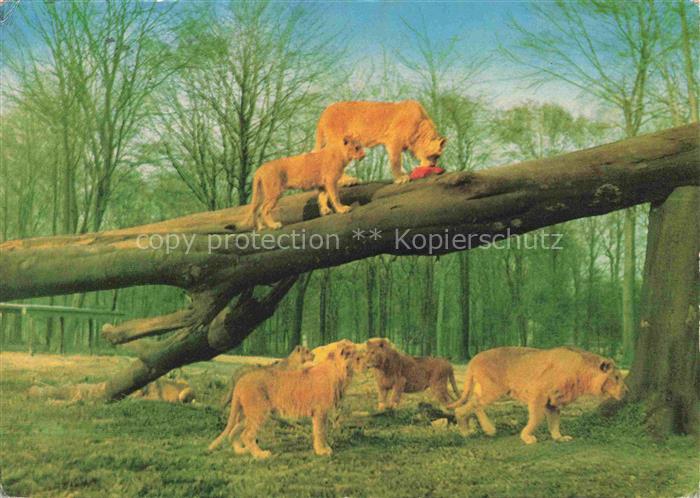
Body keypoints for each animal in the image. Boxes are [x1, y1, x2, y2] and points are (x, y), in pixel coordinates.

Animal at [208, 344, 358, 459]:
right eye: (357, 357)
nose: (313, 355)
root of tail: (241, 380)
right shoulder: (319, 409)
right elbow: (320, 431)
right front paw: (323, 451)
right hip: (259, 411)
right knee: (247, 435)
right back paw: (260, 454)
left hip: (249, 413)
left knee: (233, 431)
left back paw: (241, 450)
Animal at [314, 100, 447, 185]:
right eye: (435, 156)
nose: (433, 166)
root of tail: (324, 113)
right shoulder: (394, 140)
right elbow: (396, 161)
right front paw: (400, 178)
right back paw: (347, 181)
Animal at [446, 346, 628, 444]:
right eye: (616, 377)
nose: (627, 391)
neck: (583, 374)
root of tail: (474, 359)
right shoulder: (539, 394)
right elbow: (536, 418)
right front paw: (527, 437)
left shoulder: (554, 402)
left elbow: (554, 422)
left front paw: (559, 437)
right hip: (494, 389)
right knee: (469, 406)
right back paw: (472, 431)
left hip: (485, 389)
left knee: (474, 403)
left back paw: (480, 430)